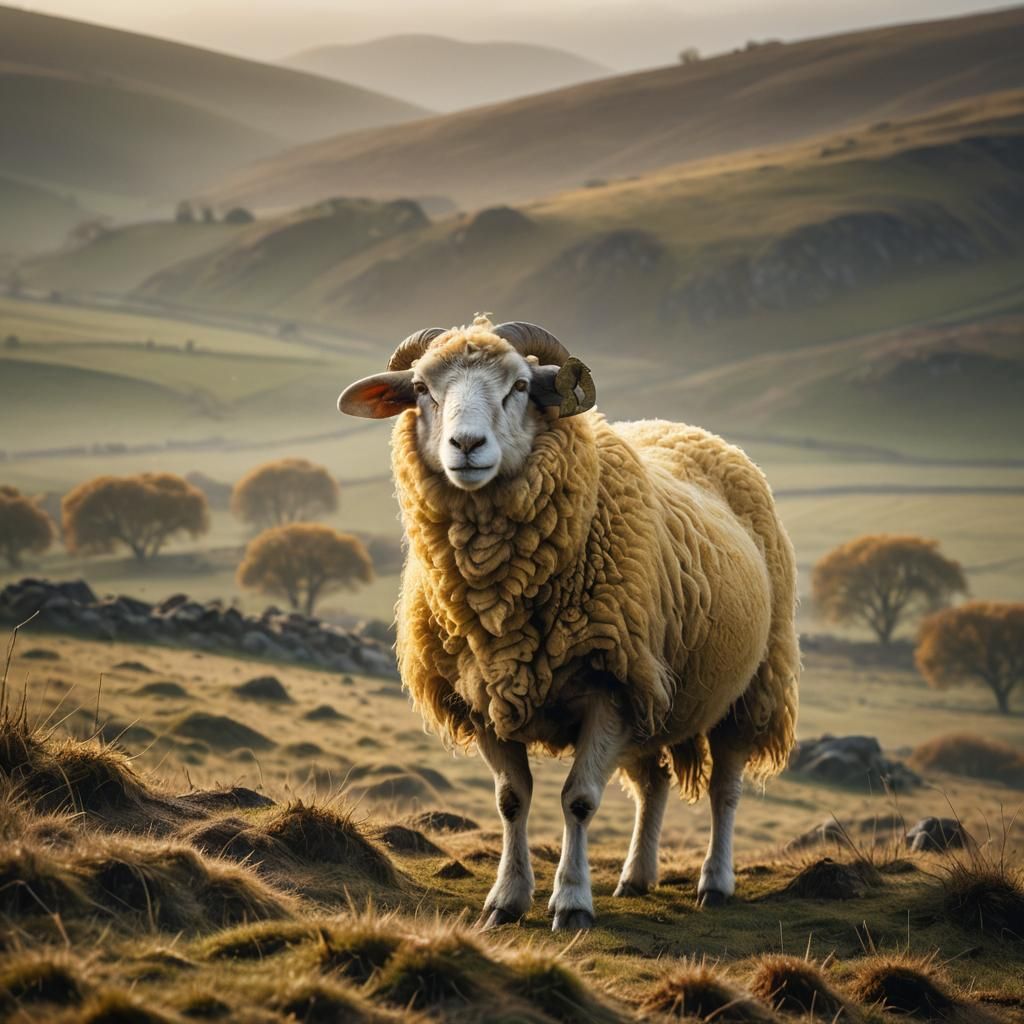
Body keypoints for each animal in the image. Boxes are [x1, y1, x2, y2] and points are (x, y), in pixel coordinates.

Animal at [339, 316, 799, 931]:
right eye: (420, 389)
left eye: (519, 386)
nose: (466, 446)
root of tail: (689, 429)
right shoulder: (484, 696)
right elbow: (511, 800)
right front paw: (506, 900)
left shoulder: (609, 687)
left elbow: (579, 800)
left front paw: (573, 902)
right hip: (653, 687)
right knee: (652, 785)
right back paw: (636, 877)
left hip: (748, 684)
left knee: (725, 788)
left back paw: (715, 882)